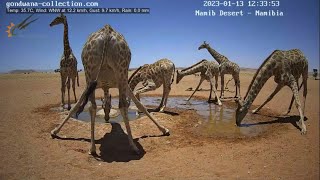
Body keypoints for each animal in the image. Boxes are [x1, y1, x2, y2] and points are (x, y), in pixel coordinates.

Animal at [49, 24, 169, 155]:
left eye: (109, 108)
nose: (107, 118)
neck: (106, 86)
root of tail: (107, 29)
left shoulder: (100, 85)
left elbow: (141, 105)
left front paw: (164, 129)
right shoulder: (113, 84)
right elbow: (75, 107)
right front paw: (55, 131)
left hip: (97, 75)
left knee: (96, 106)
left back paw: (95, 148)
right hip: (116, 74)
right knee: (117, 105)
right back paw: (132, 147)